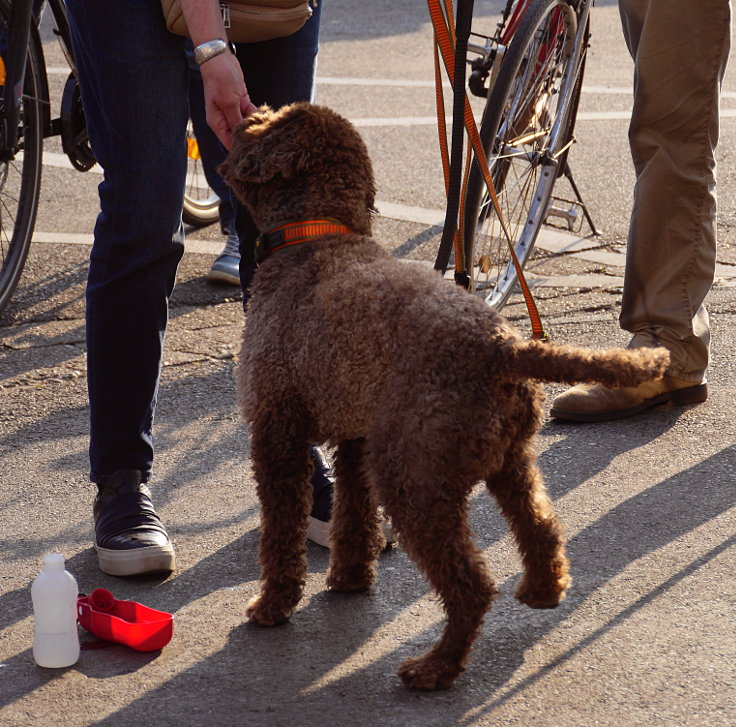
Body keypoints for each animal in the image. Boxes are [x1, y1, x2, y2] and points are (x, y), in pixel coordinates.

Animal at [217, 101, 668, 688]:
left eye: (269, 121)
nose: (243, 113)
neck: (314, 235)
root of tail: (502, 346)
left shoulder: (278, 431)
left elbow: (280, 533)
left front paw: (272, 606)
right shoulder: (357, 436)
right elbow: (354, 515)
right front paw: (350, 578)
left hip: (415, 476)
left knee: (471, 585)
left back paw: (435, 667)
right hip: (507, 460)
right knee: (541, 524)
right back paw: (544, 589)